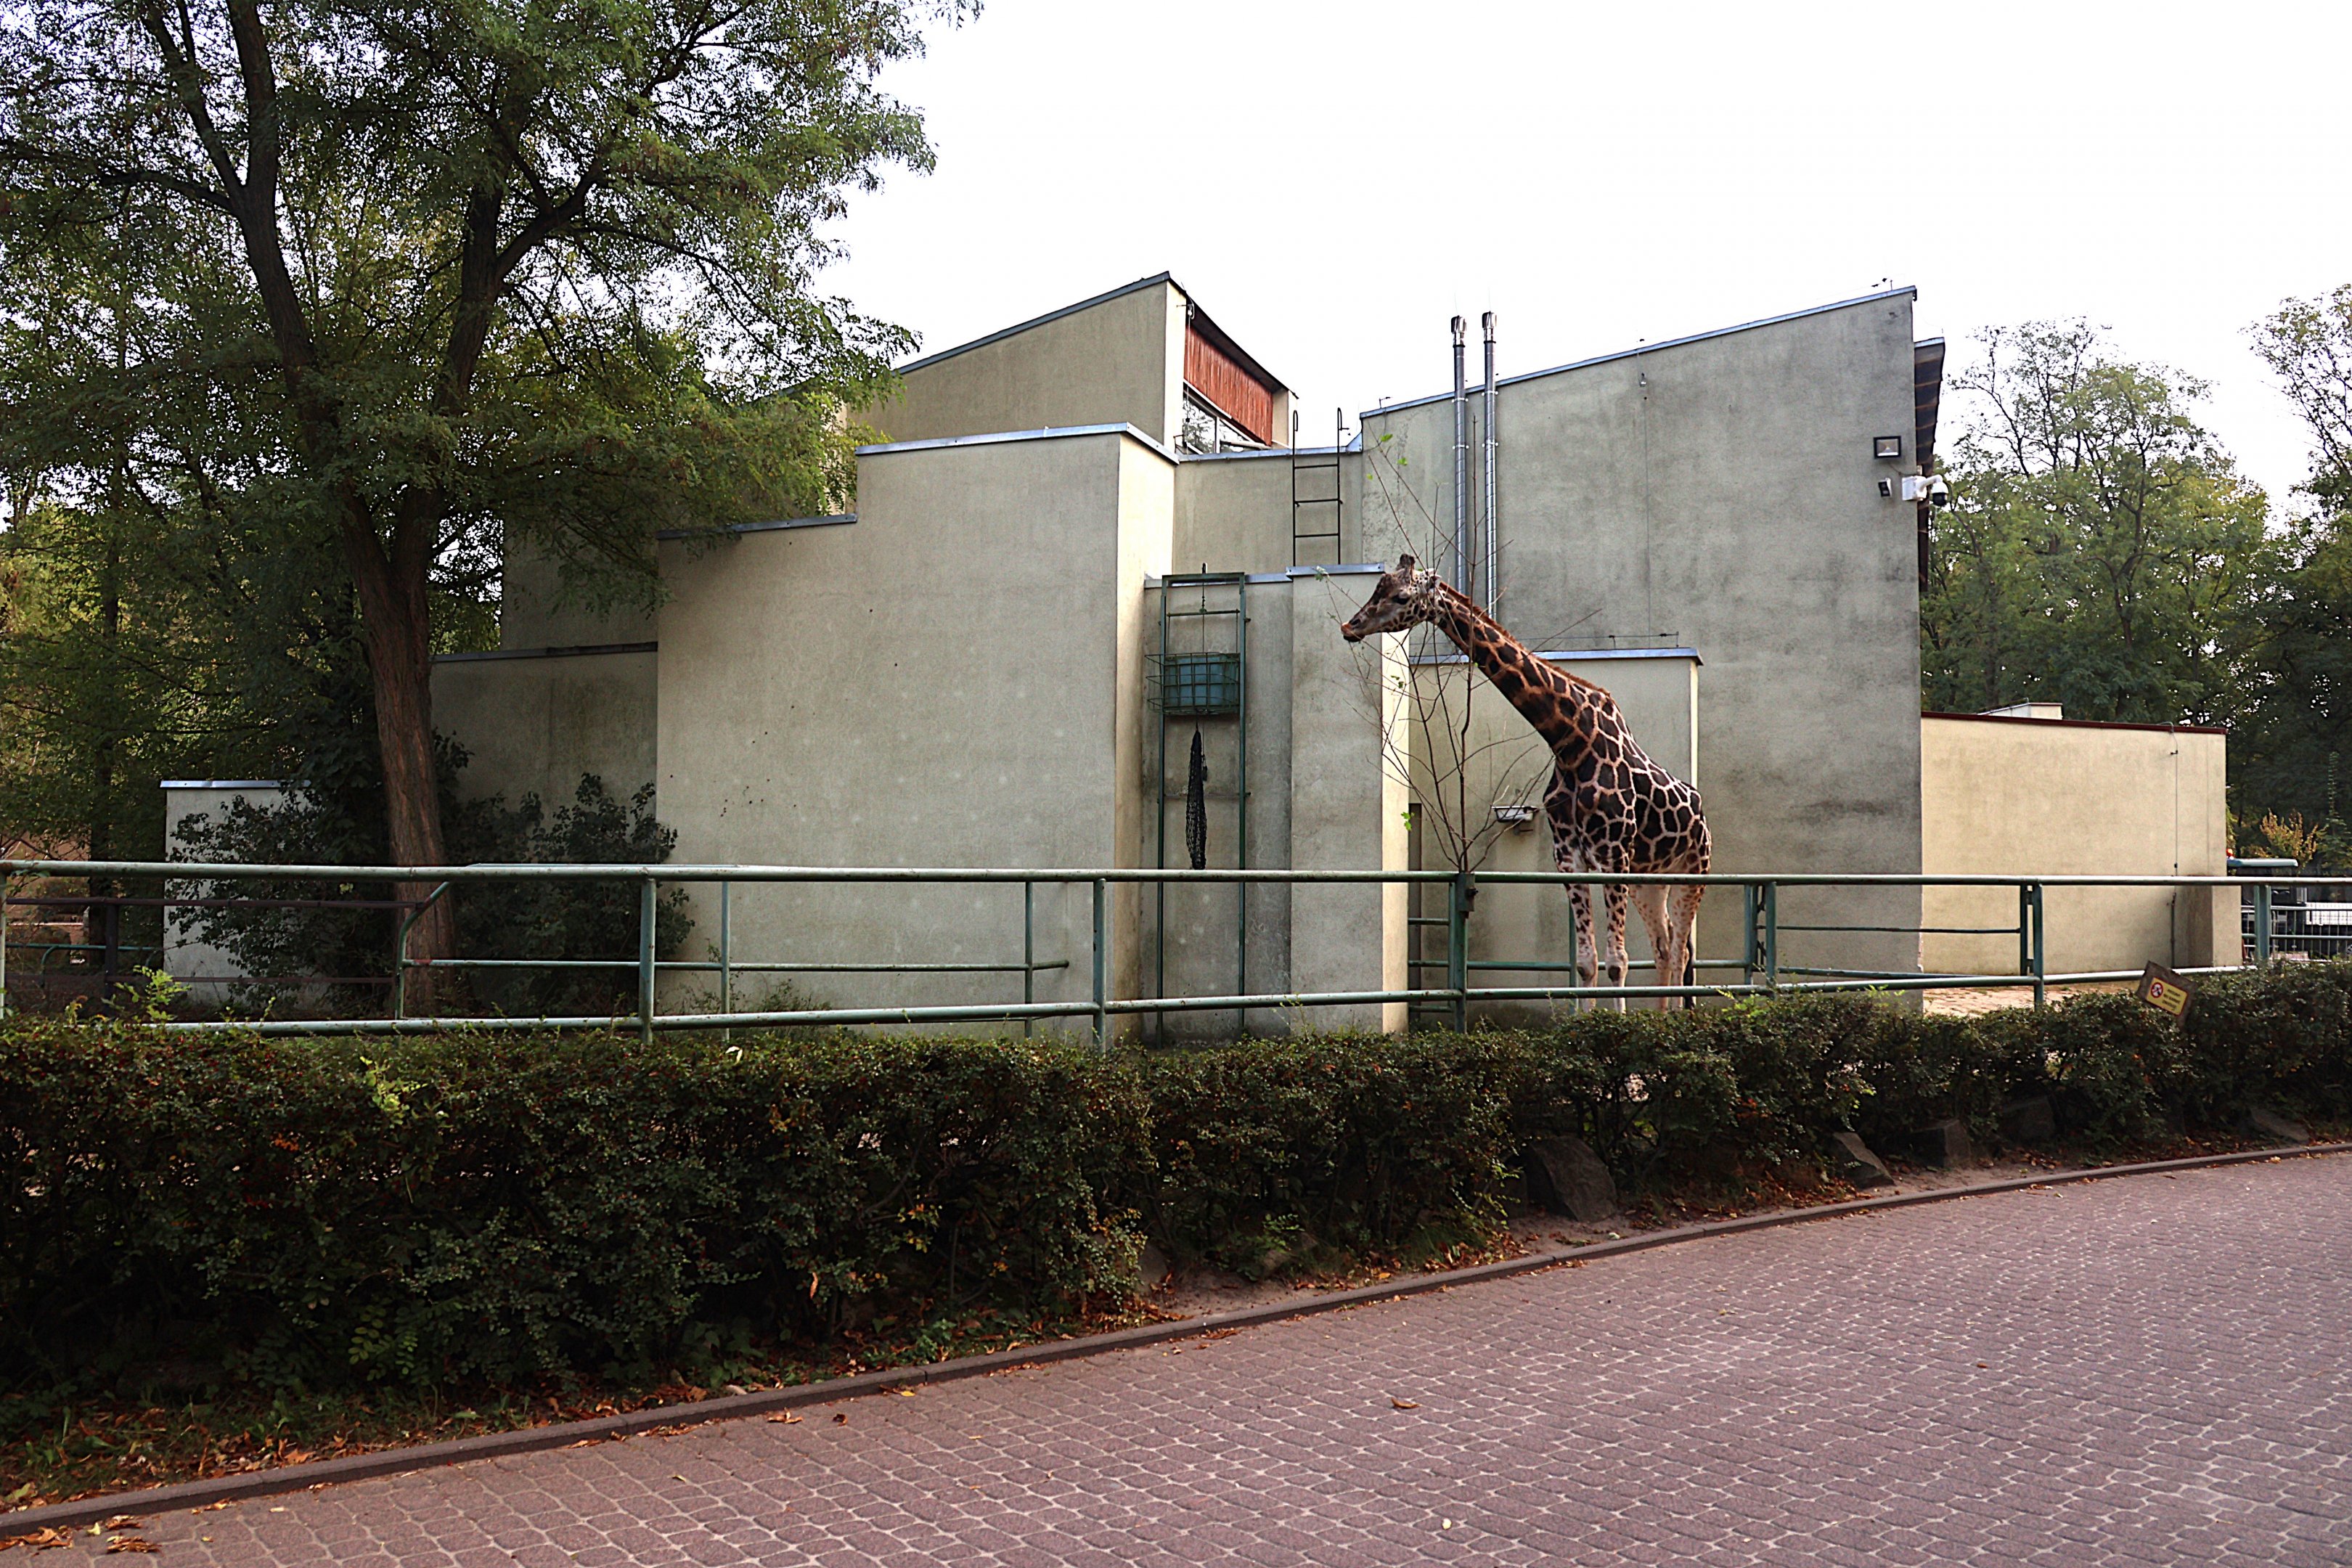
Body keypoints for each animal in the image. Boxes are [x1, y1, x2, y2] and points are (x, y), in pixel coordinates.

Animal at [1341, 556, 1711, 1008]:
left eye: (1400, 597)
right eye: (1377, 589)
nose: (1350, 627)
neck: (1571, 741)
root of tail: (1703, 814)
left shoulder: (1613, 853)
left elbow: (1617, 961)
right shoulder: (1569, 857)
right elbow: (1586, 962)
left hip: (1693, 870)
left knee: (1680, 950)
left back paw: (1674, 1015)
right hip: (1651, 879)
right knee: (1665, 945)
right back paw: (1662, 1014)